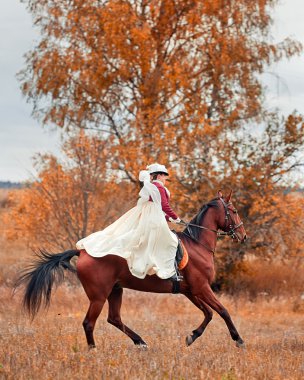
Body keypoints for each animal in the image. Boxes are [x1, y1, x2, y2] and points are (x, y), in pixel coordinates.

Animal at [16, 191, 247, 348]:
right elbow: (223, 311)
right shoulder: (202, 288)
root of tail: (82, 252)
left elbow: (209, 313)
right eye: (234, 211)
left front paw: (192, 336)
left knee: (114, 319)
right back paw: (94, 350)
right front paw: (238, 339)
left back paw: (140, 342)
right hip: (98, 296)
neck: (198, 245)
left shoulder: (190, 290)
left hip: (115, 290)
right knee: (89, 323)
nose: (243, 236)